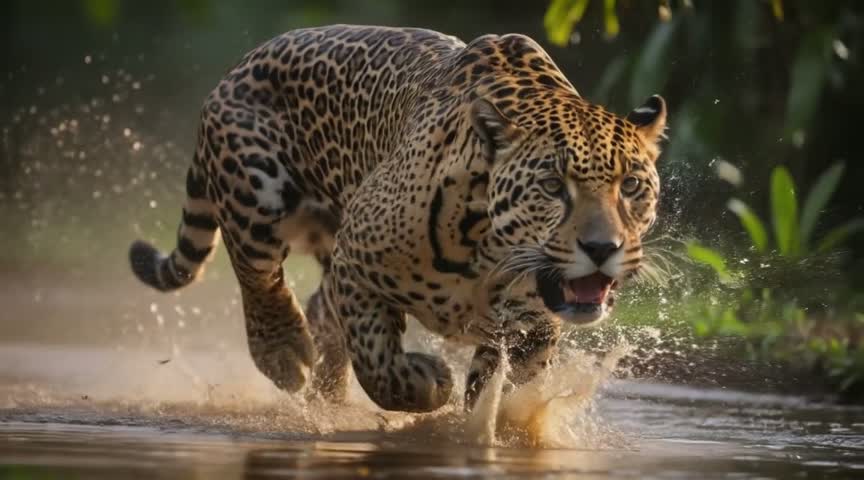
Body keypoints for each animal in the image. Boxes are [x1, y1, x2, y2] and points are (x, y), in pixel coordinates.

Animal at [129, 25, 667, 413]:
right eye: (553, 186)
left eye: (631, 186)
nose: (602, 249)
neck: (489, 250)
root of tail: (234, 70)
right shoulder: (356, 264)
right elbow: (377, 364)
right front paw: (427, 386)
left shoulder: (531, 326)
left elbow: (503, 391)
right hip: (254, 193)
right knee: (258, 275)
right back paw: (283, 355)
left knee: (319, 308)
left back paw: (326, 400)